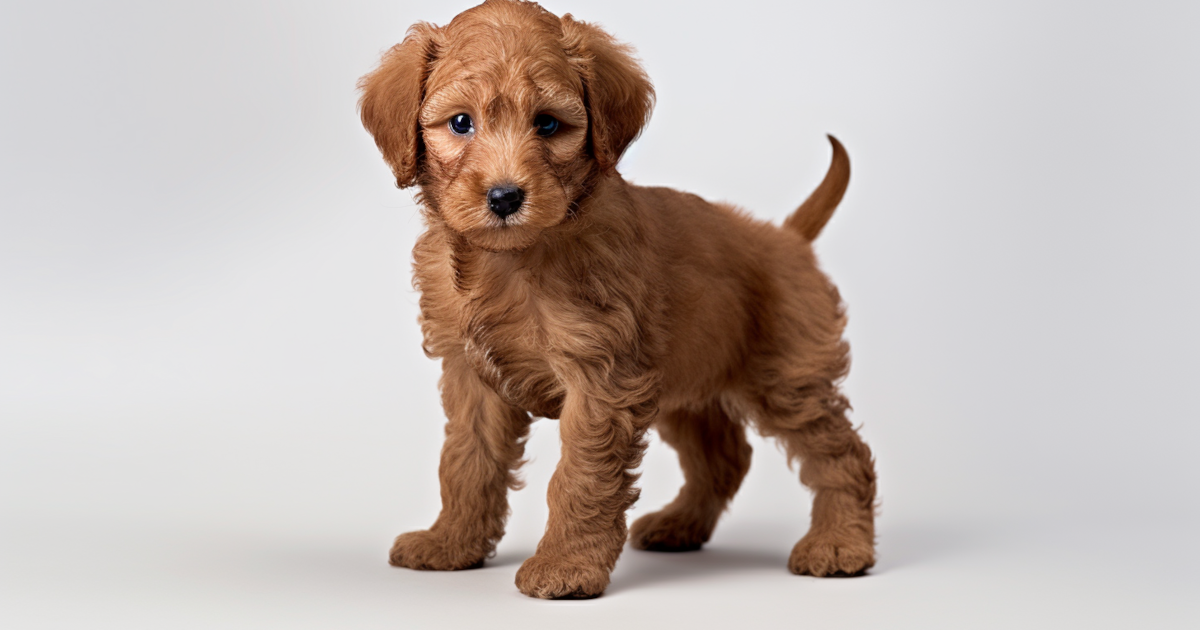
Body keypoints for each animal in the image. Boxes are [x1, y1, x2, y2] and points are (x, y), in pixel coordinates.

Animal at [355, 1, 873, 600]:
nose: (505, 197)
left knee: (841, 453)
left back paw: (840, 544)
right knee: (723, 458)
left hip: (787, 378)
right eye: (461, 123)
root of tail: (786, 237)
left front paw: (565, 568)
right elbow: (466, 462)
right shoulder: (471, 377)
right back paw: (681, 524)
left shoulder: (600, 379)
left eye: (547, 124)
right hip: (686, 385)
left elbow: (580, 478)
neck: (509, 261)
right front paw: (450, 544)